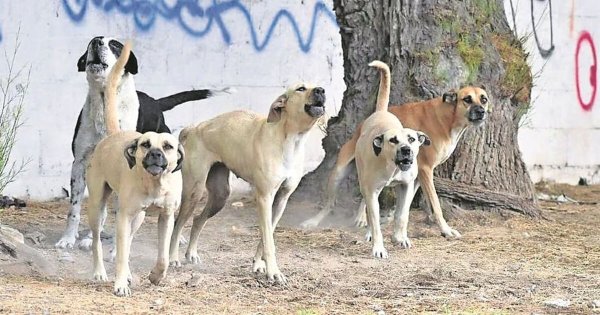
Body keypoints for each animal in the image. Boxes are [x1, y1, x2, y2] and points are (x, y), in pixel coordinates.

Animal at [56, 37, 226, 249]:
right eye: (91, 41)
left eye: (115, 45)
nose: (96, 42)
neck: (106, 103)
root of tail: (156, 102)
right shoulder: (80, 163)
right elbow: (75, 207)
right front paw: (69, 238)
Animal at [84, 42, 183, 298]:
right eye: (145, 144)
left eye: (168, 146)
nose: (155, 154)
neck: (154, 183)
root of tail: (113, 135)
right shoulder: (123, 216)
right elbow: (120, 254)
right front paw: (120, 284)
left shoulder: (166, 217)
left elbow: (163, 256)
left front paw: (157, 276)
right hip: (98, 206)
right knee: (98, 241)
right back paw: (99, 272)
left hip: (138, 217)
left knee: (127, 243)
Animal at [169, 82, 326, 286]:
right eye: (301, 88)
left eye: (319, 86)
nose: (321, 90)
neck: (290, 139)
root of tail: (195, 127)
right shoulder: (264, 198)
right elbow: (268, 241)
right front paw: (274, 272)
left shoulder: (281, 200)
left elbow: (266, 236)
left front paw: (259, 265)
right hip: (193, 192)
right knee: (177, 224)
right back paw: (172, 258)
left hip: (220, 197)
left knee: (197, 220)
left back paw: (192, 254)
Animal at [302, 80, 490, 241]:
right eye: (467, 99)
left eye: (484, 99)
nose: (481, 111)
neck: (448, 117)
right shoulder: (426, 170)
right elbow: (436, 205)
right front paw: (446, 230)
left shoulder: (415, 176)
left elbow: (405, 205)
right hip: (339, 173)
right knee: (330, 203)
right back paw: (315, 221)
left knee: (366, 194)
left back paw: (362, 218)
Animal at [354, 61, 428, 260]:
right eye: (393, 140)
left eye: (411, 139)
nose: (406, 150)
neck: (392, 167)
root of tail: (381, 112)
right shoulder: (371, 191)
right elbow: (375, 220)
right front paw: (379, 248)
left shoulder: (407, 186)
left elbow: (402, 215)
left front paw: (399, 238)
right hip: (364, 182)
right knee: (368, 208)